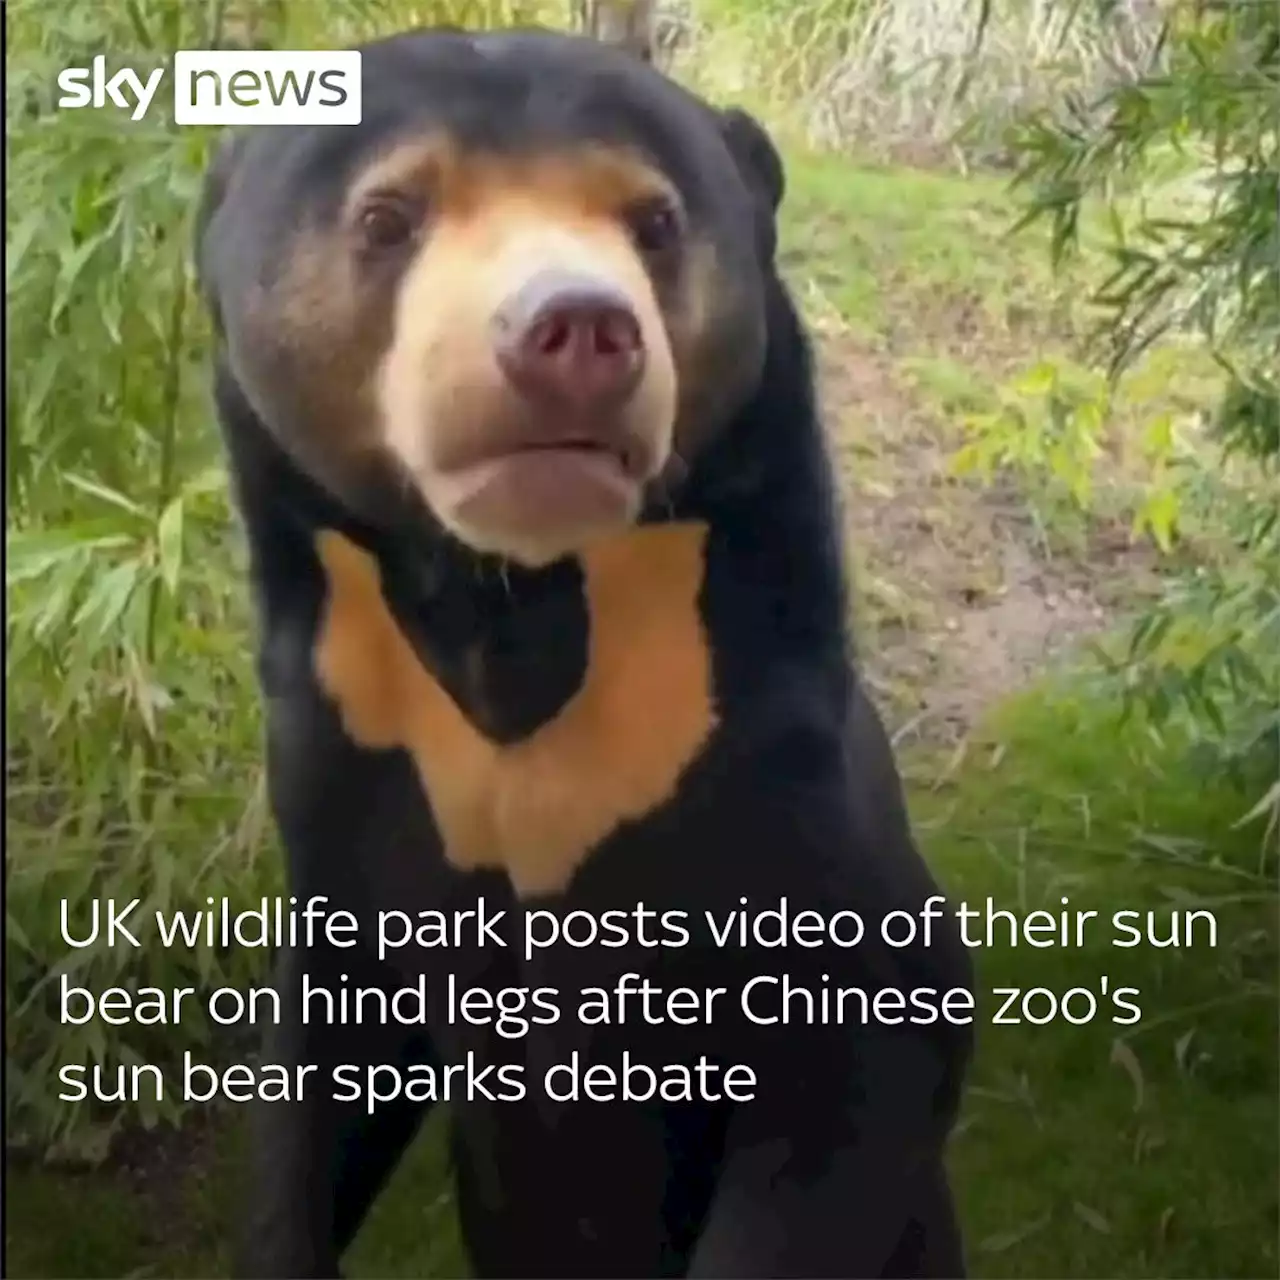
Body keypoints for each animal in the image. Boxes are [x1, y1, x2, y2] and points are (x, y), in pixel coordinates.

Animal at [194, 22, 972, 1280]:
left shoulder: (777, 764)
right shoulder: (340, 764)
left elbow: (862, 1050)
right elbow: (320, 1078)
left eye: (653, 221)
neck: (513, 600)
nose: (575, 332)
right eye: (388, 216)